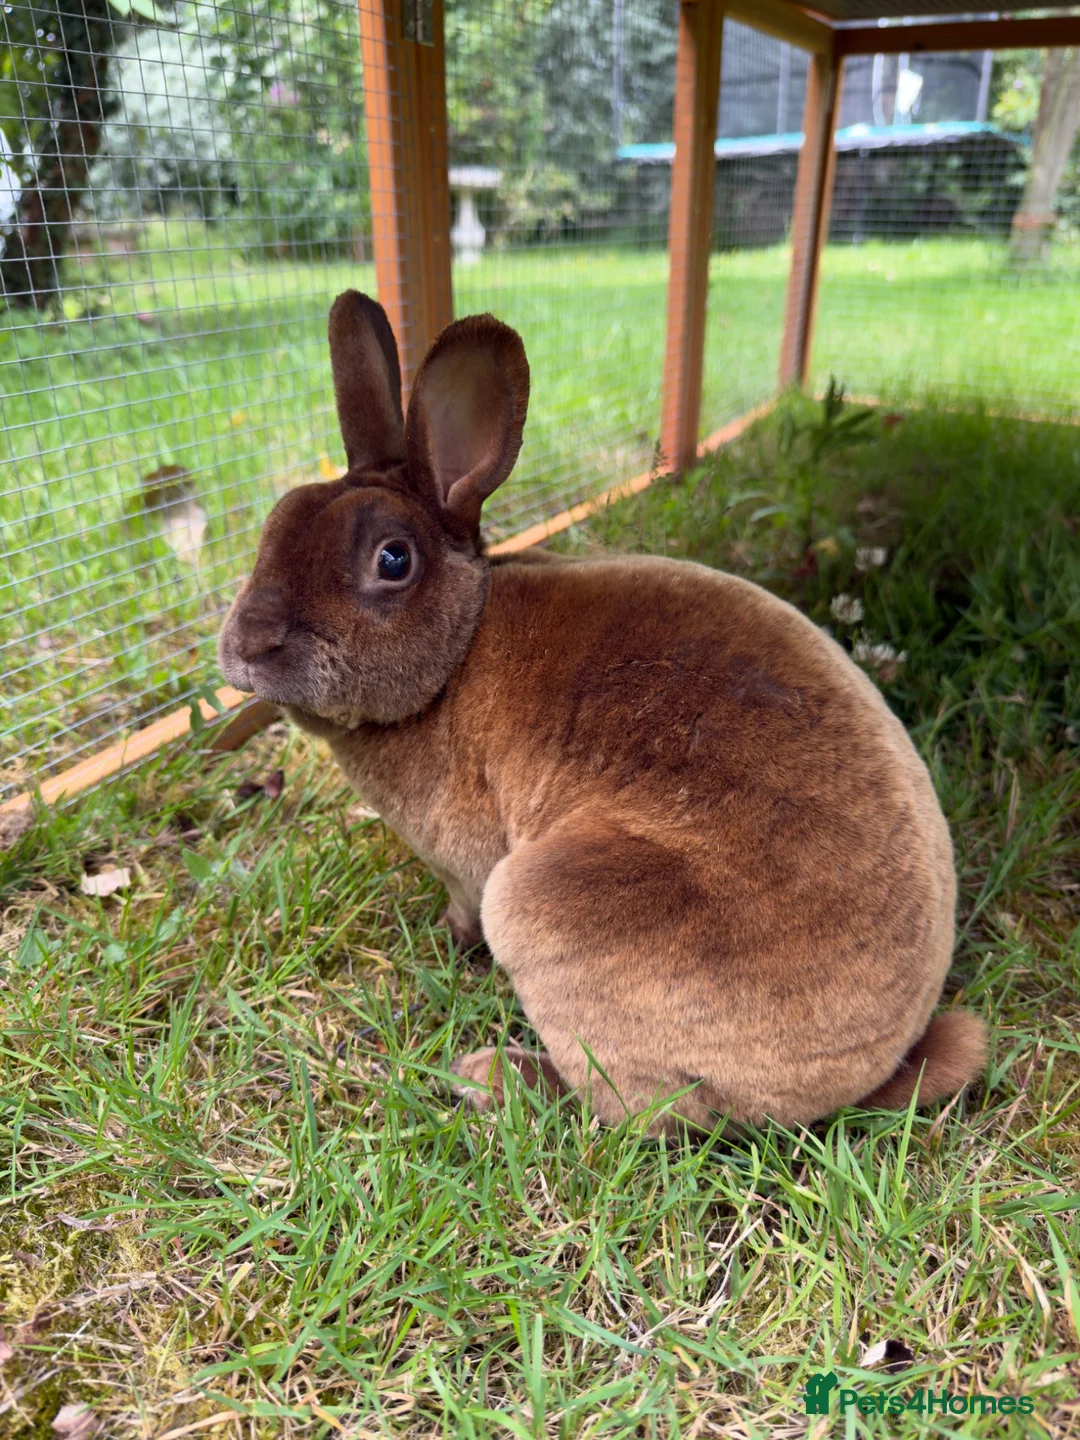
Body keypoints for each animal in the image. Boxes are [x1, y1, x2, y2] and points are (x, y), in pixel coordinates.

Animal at [218, 290, 988, 1135]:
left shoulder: (469, 868)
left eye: (393, 560)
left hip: (540, 906)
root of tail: (860, 1078)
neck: (459, 649)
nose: (247, 646)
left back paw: (493, 1077)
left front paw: (451, 944)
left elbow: (462, 905)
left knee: (629, 1113)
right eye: (276, 521)